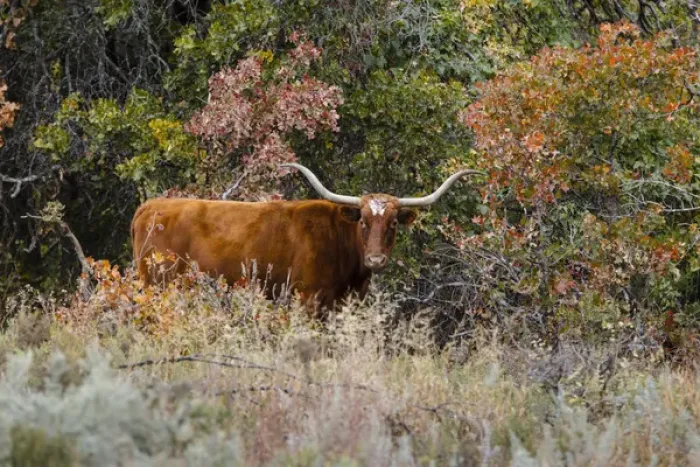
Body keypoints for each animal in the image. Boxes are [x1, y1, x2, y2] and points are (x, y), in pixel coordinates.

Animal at [130, 163, 482, 314]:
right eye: (364, 221)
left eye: (393, 222)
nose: (375, 259)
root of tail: (149, 206)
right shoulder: (308, 299)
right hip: (158, 286)